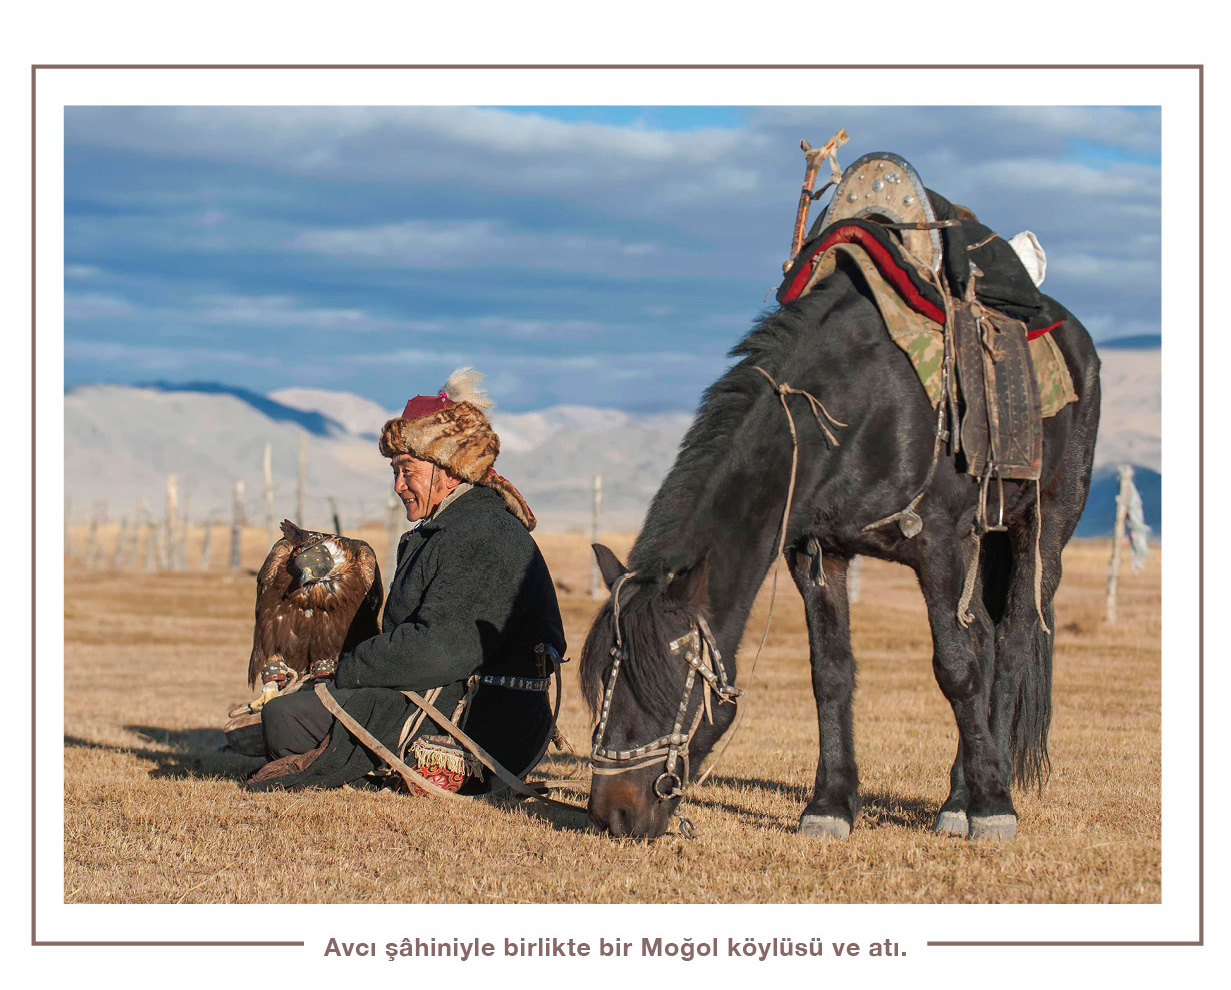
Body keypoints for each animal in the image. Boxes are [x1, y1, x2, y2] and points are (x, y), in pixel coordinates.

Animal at [581, 261, 1102, 837]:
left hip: (1046, 523)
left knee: (1011, 642)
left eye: (665, 683)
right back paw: (957, 795)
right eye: (602, 680)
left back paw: (987, 789)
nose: (614, 813)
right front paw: (829, 804)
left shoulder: (937, 542)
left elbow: (956, 669)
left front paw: (992, 806)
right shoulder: (819, 554)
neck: (854, 413)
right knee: (985, 637)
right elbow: (830, 672)